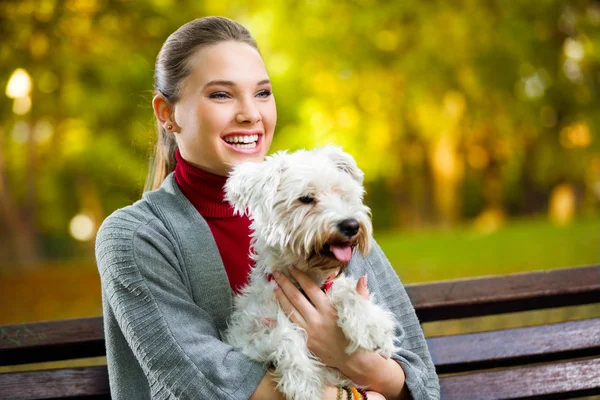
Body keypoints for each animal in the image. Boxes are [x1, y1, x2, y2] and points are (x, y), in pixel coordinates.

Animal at [223, 146, 396, 400]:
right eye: (305, 198)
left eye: (342, 194)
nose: (351, 225)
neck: (306, 278)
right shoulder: (247, 338)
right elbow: (284, 334)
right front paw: (303, 383)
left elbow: (349, 292)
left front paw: (369, 324)